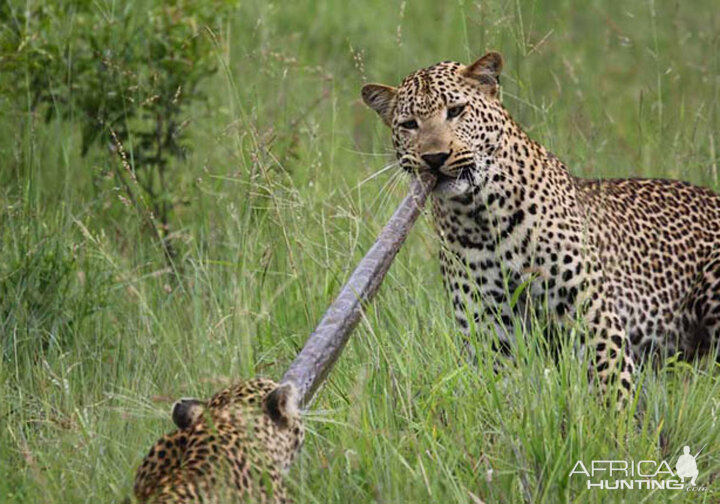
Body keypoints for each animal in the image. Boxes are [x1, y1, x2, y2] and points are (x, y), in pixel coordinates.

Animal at [362, 51, 720, 406]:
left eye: (456, 110)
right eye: (410, 124)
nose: (434, 157)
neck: (479, 218)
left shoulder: (592, 316)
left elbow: (612, 390)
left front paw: (618, 422)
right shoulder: (490, 333)